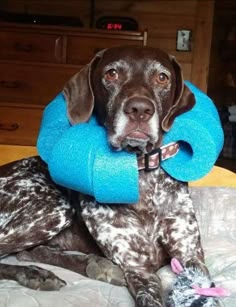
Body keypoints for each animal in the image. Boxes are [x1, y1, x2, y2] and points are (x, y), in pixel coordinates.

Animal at [0, 47, 214, 306]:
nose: (140, 110)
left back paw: (97, 266)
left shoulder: (191, 255)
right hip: (53, 206)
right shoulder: (137, 267)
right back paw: (36, 274)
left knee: (29, 252)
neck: (143, 181)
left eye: (162, 77)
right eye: (112, 74)